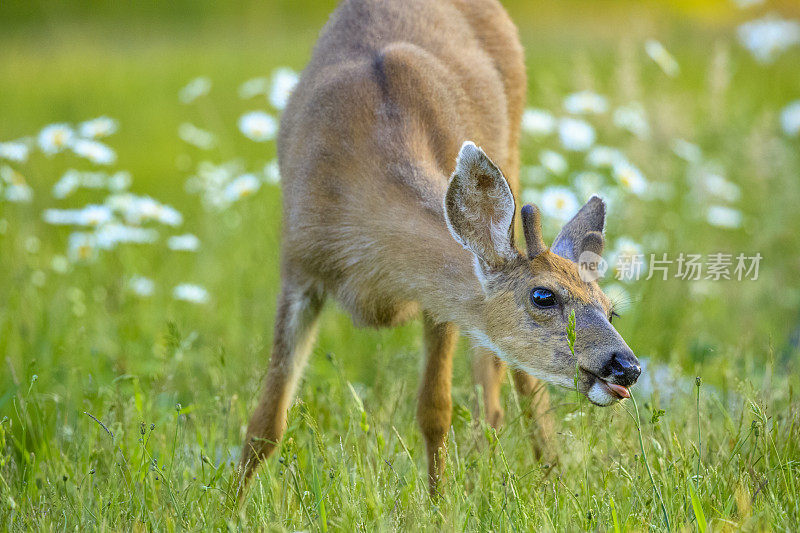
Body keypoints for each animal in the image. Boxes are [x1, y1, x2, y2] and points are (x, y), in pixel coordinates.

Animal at [236, 0, 636, 494]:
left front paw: (440, 501)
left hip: (513, 148)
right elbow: (266, 422)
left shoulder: (439, 306)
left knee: (505, 386)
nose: (627, 366)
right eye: (543, 295)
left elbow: (435, 411)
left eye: (610, 309)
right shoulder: (298, 265)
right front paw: (229, 502)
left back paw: (548, 479)